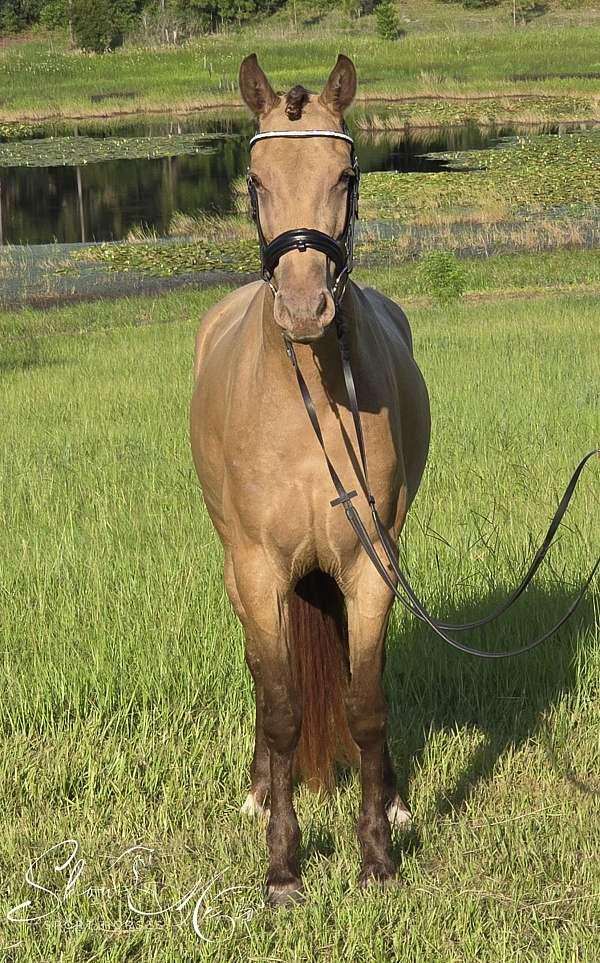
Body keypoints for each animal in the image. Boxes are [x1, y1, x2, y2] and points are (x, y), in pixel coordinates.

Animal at [190, 53, 431, 906]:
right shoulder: (261, 572)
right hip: (239, 576)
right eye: (255, 178)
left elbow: (365, 703)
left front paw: (378, 851)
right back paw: (262, 788)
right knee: (266, 683)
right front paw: (284, 867)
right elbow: (285, 708)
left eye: (345, 174)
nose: (302, 306)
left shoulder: (371, 566)